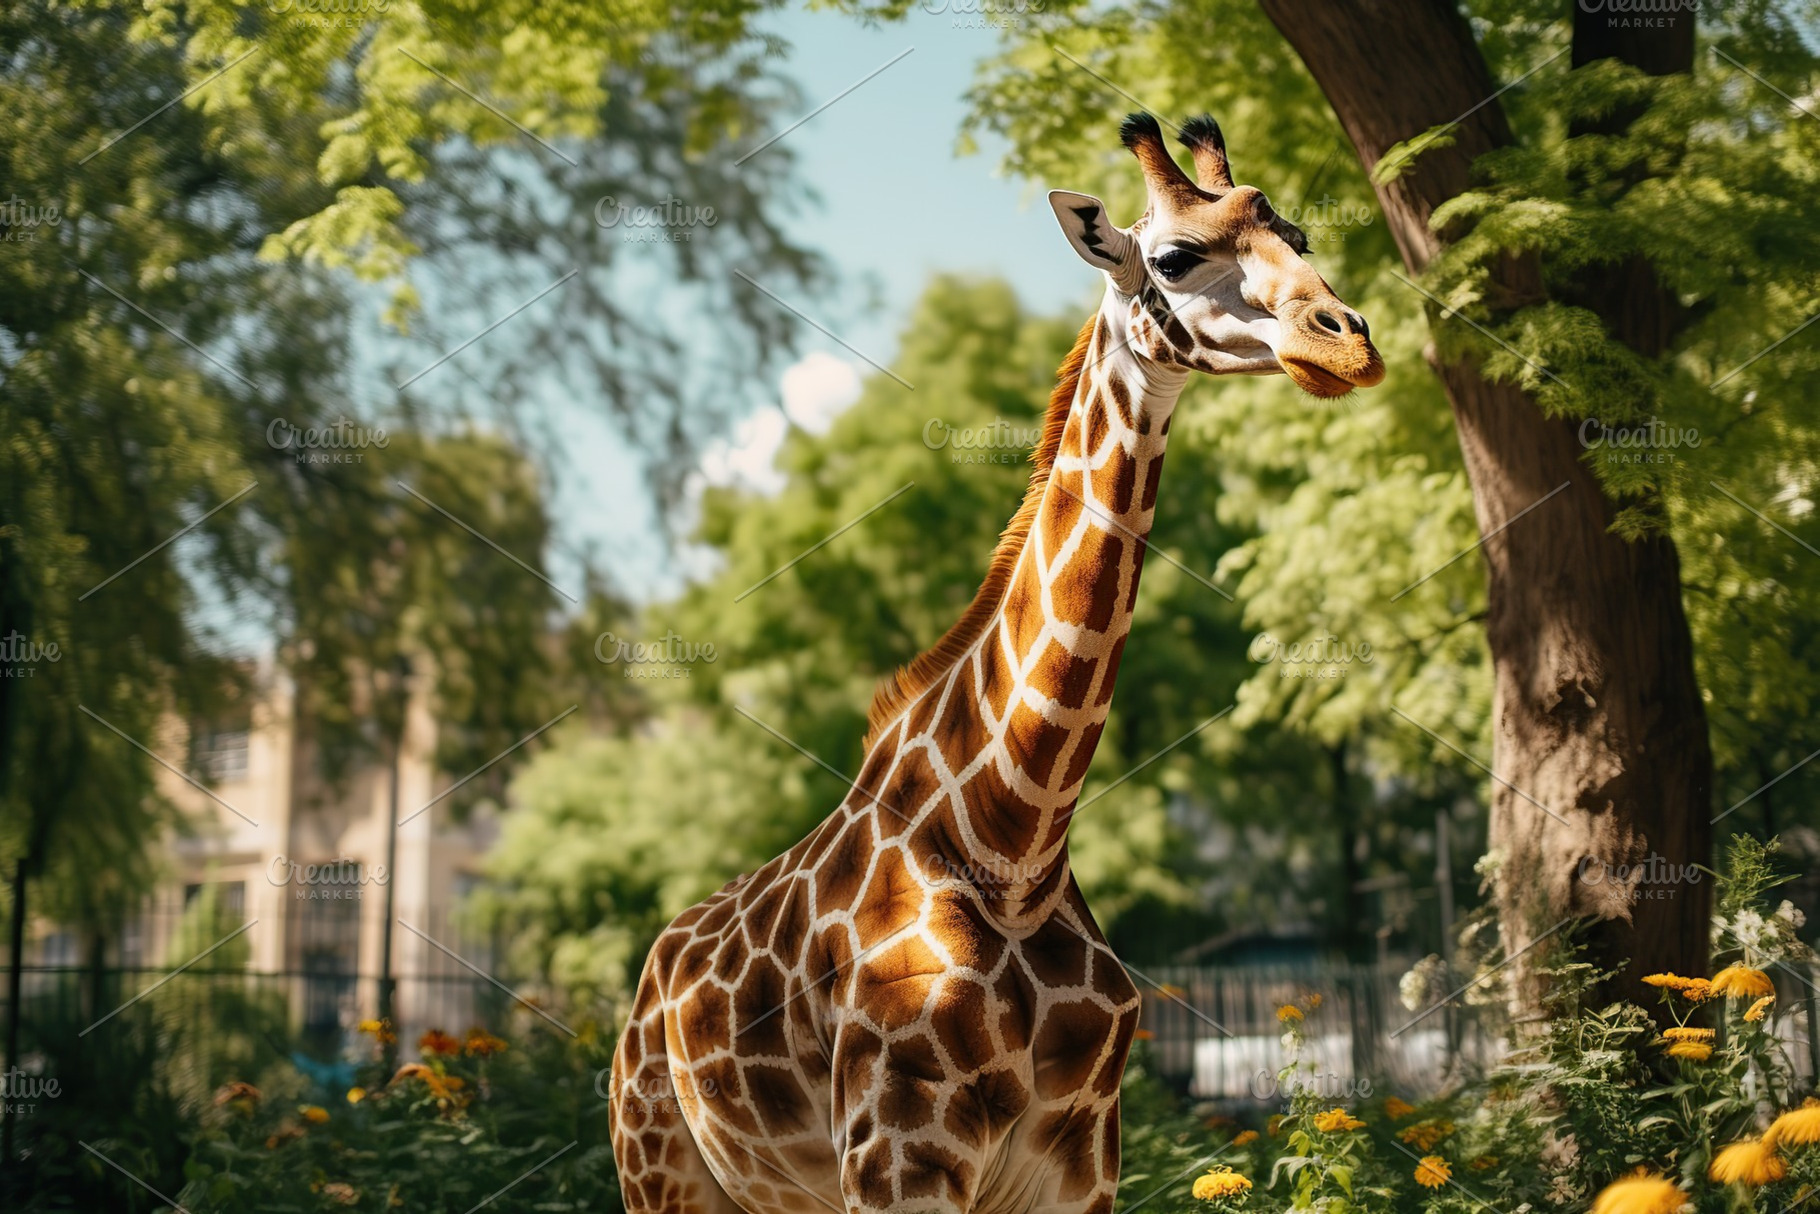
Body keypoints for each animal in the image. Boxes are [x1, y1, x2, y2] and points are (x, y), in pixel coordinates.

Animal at [611, 113, 1383, 1214]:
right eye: (1174, 257)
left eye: (1301, 237)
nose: (1346, 339)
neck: (1016, 842)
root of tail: (650, 976)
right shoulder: (900, 1155)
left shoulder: (1082, 1161)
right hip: (660, 1168)